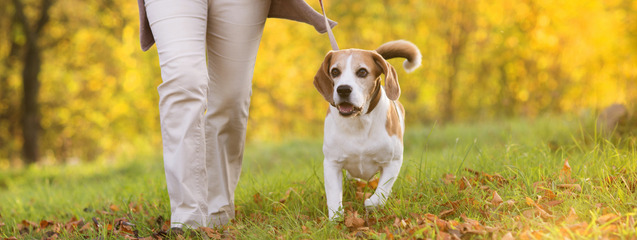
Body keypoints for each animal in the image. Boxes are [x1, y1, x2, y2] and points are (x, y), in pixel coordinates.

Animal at [312, 39, 420, 219]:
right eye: (335, 71)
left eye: (362, 72)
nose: (343, 89)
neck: (359, 121)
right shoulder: (332, 163)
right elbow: (333, 195)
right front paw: (336, 218)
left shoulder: (393, 162)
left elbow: (381, 193)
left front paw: (371, 203)